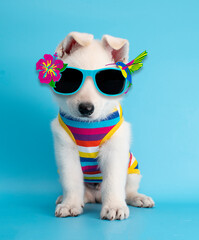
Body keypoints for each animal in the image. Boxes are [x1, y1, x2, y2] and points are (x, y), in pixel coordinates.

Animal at [51, 32, 154, 221]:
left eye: (108, 83)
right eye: (70, 80)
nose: (86, 109)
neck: (88, 126)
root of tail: (96, 197)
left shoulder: (114, 150)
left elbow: (113, 181)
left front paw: (114, 206)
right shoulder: (66, 150)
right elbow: (72, 180)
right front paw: (70, 204)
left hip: (133, 171)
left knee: (128, 190)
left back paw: (137, 198)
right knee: (82, 191)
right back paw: (72, 199)